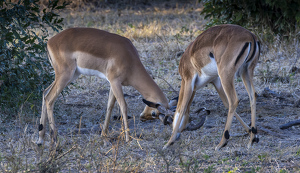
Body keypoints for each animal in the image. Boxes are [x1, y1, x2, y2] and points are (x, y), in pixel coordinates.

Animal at [36, 27, 178, 146]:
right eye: (154, 113)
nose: (142, 117)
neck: (129, 58)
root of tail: (50, 42)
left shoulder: (112, 83)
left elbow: (110, 106)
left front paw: (104, 136)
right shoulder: (115, 81)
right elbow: (123, 106)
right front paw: (128, 138)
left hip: (70, 75)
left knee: (44, 92)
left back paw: (40, 139)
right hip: (65, 75)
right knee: (50, 98)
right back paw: (55, 139)